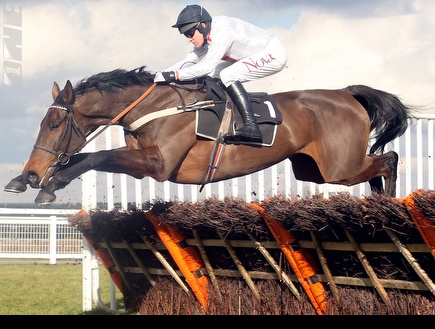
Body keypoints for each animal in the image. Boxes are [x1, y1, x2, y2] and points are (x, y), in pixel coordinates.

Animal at [3, 66, 414, 202]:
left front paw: (50, 185)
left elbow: (97, 156)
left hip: (338, 168)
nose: (32, 172)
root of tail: (347, 94)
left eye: (54, 125)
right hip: (313, 169)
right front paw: (26, 182)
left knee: (389, 159)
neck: (155, 108)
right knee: (378, 165)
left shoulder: (158, 165)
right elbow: (89, 156)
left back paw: (390, 204)